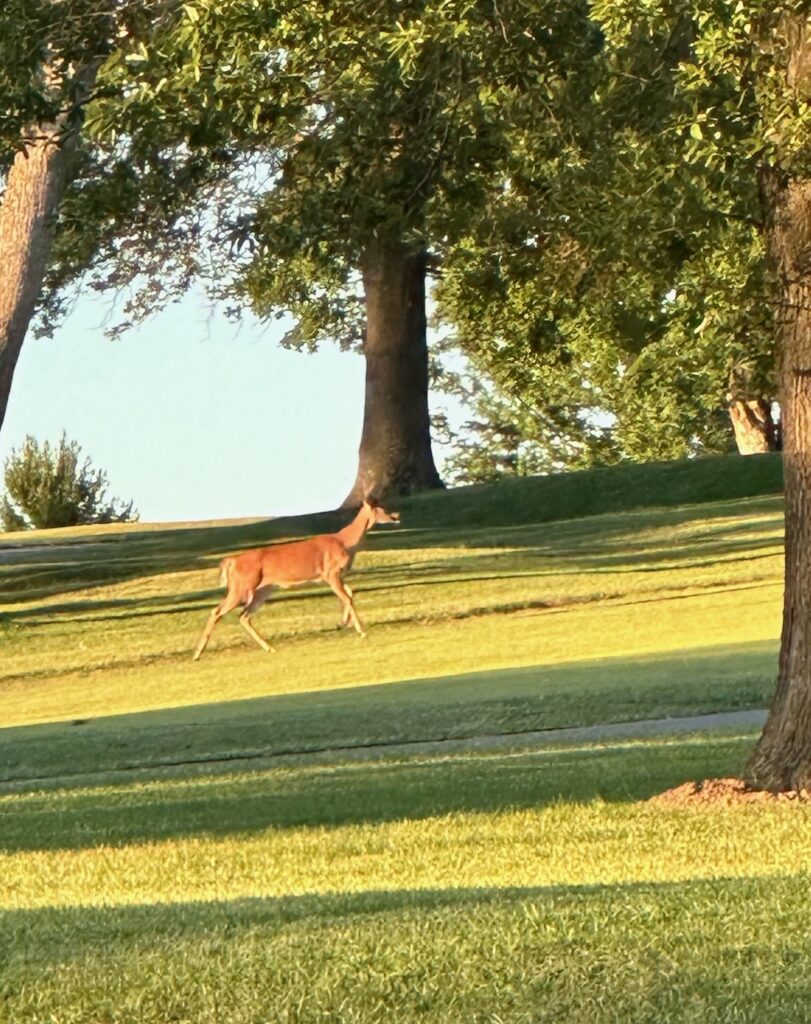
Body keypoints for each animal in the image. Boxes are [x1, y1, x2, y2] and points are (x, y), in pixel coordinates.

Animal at [192, 499, 400, 660]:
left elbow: (349, 594)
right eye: (382, 507)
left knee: (244, 616)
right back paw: (197, 654)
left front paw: (343, 624)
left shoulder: (337, 575)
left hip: (263, 589)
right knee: (217, 611)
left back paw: (269, 648)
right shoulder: (330, 572)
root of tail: (231, 561)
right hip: (241, 586)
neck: (346, 542)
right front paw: (361, 631)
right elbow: (347, 597)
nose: (396, 515)